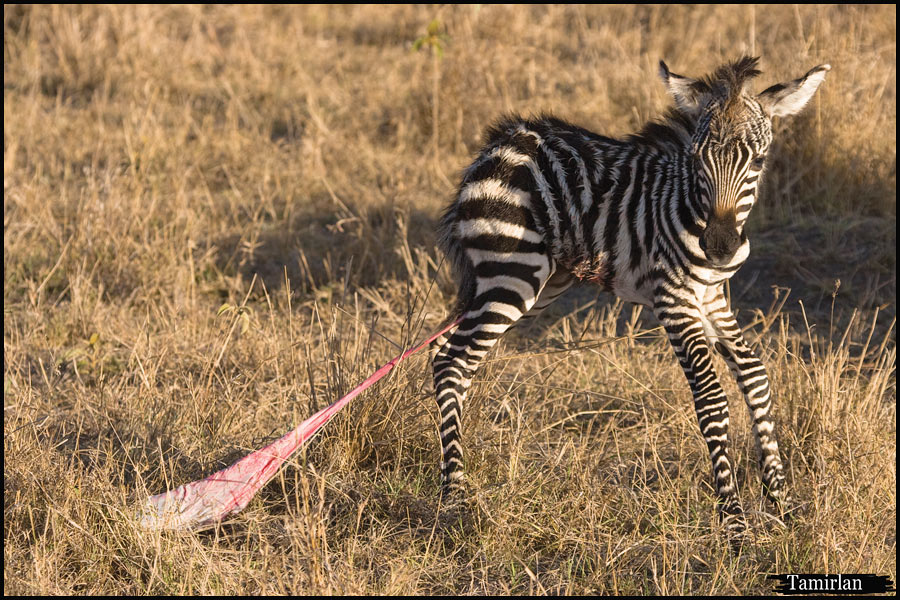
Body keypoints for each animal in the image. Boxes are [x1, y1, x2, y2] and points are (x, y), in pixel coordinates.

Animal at [428, 57, 828, 540]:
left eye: (759, 160)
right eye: (697, 158)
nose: (721, 246)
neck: (689, 205)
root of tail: (499, 145)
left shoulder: (710, 297)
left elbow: (754, 376)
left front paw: (781, 500)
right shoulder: (673, 299)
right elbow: (712, 397)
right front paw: (733, 522)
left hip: (532, 282)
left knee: (449, 352)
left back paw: (456, 474)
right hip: (513, 272)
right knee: (451, 360)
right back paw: (454, 495)